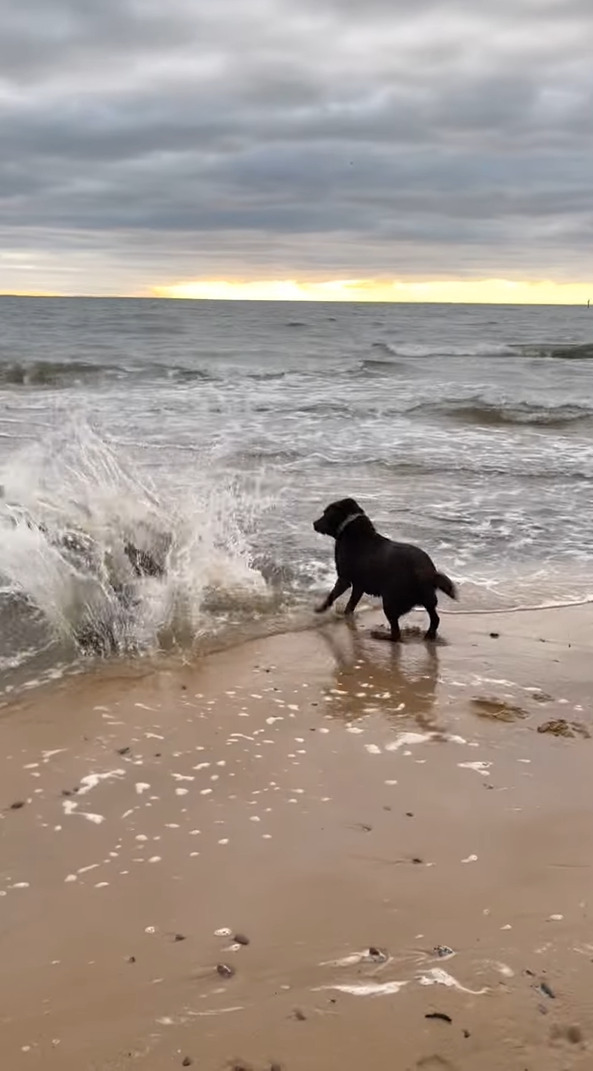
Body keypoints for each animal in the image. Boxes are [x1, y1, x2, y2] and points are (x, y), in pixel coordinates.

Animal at [312, 496, 453, 638]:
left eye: (326, 513)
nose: (314, 523)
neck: (348, 525)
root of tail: (429, 574)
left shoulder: (344, 579)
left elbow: (332, 595)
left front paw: (320, 609)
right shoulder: (359, 585)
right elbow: (350, 604)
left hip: (390, 600)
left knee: (396, 634)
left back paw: (380, 635)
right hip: (426, 599)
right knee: (435, 618)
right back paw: (429, 634)